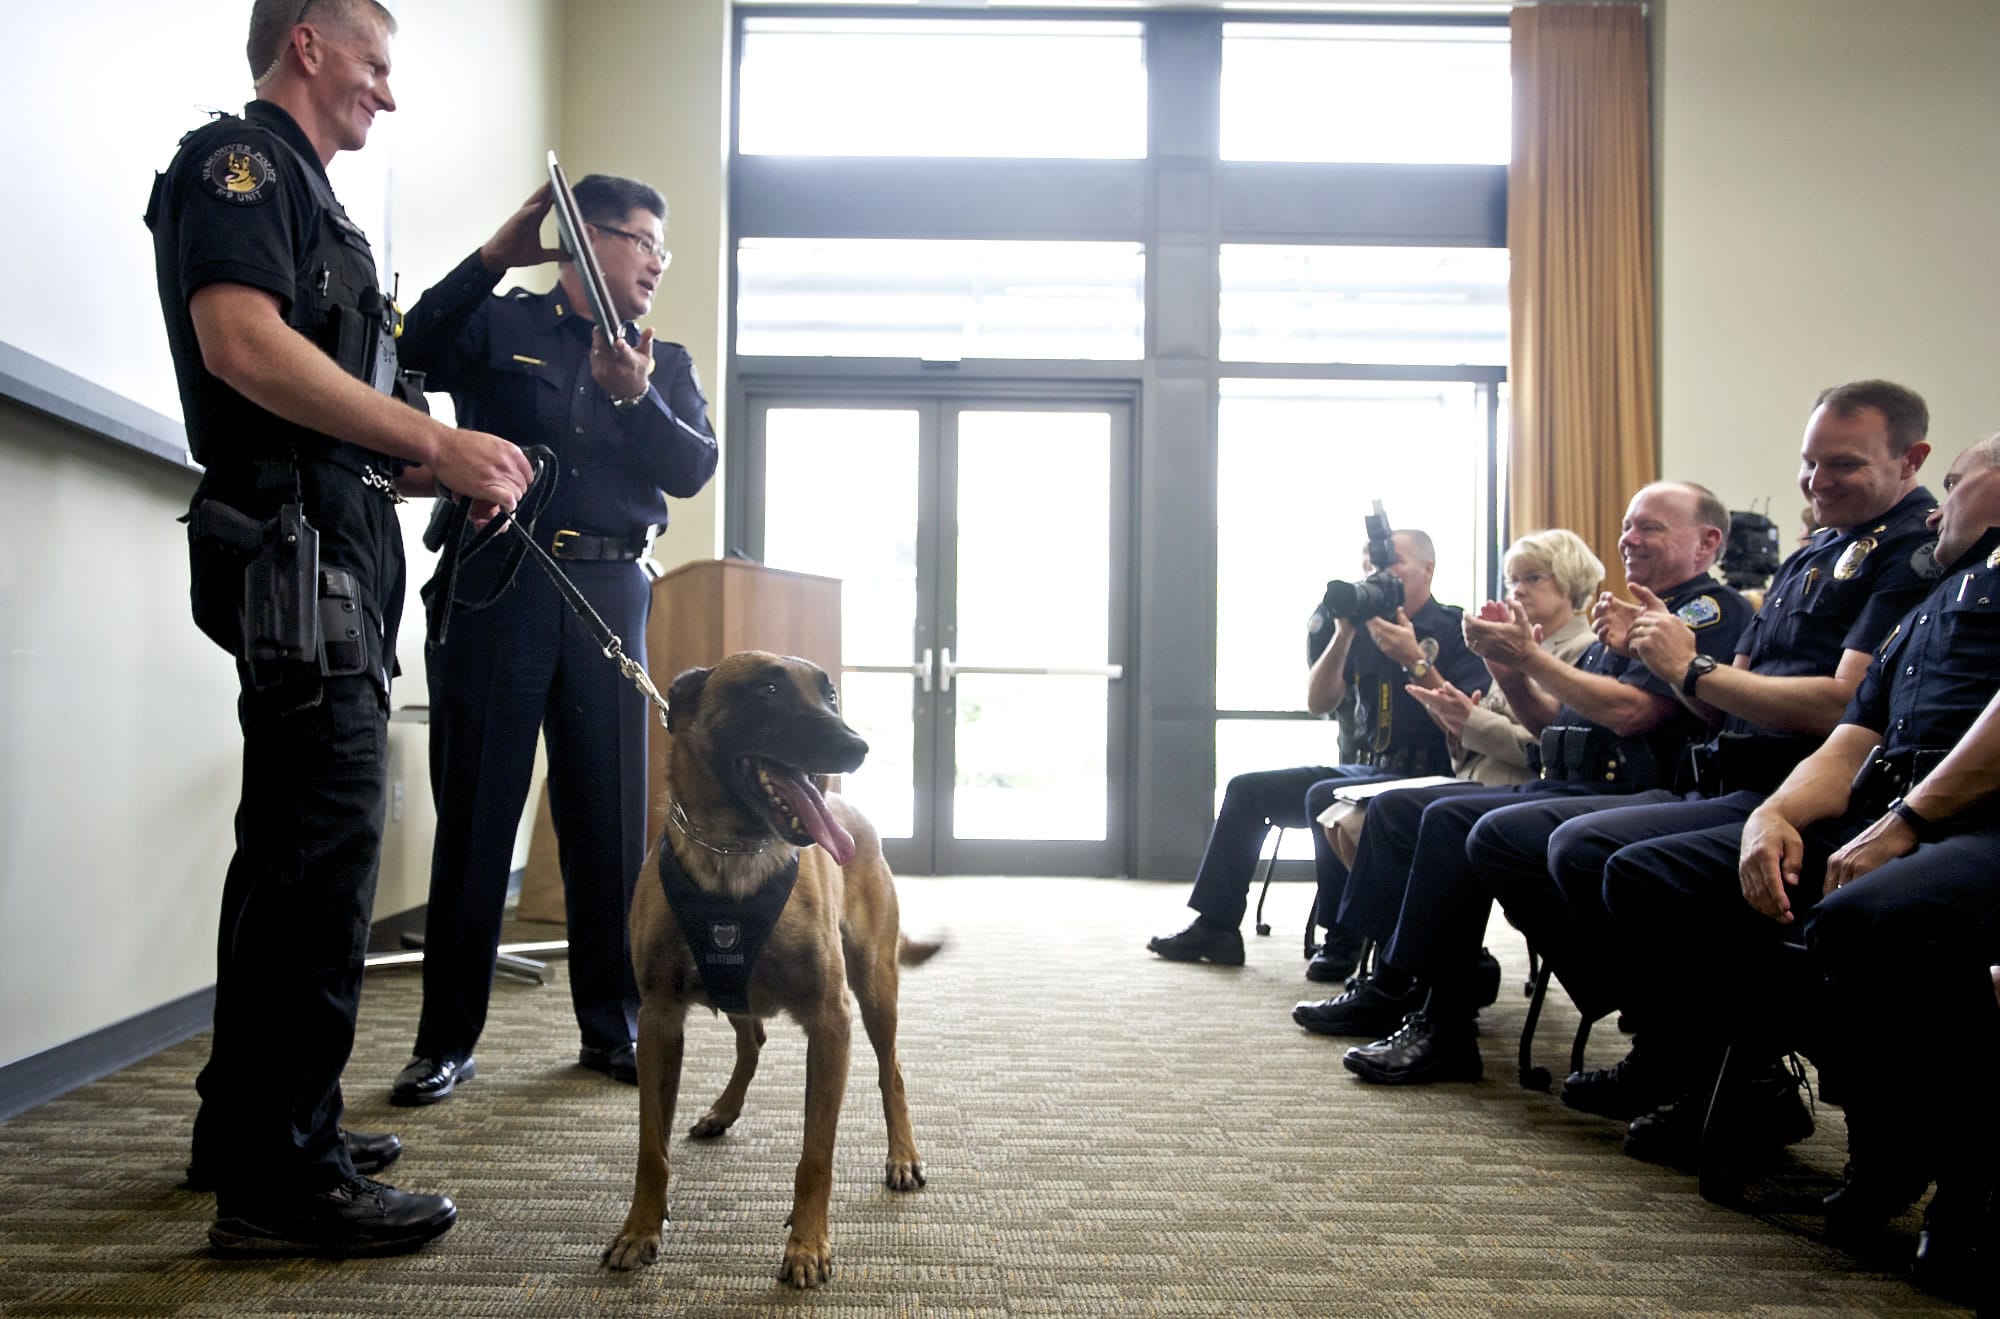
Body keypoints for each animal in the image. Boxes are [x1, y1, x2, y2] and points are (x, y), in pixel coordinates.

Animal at [600, 647, 936, 1287]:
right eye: (769, 690)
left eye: (830, 695)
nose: (857, 746)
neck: (733, 855)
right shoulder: (659, 1021)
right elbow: (651, 1147)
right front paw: (639, 1229)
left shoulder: (831, 1021)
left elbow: (816, 1154)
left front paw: (807, 1246)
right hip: (736, 992)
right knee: (751, 1039)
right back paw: (722, 1110)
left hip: (875, 987)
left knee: (893, 1070)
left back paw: (902, 1155)